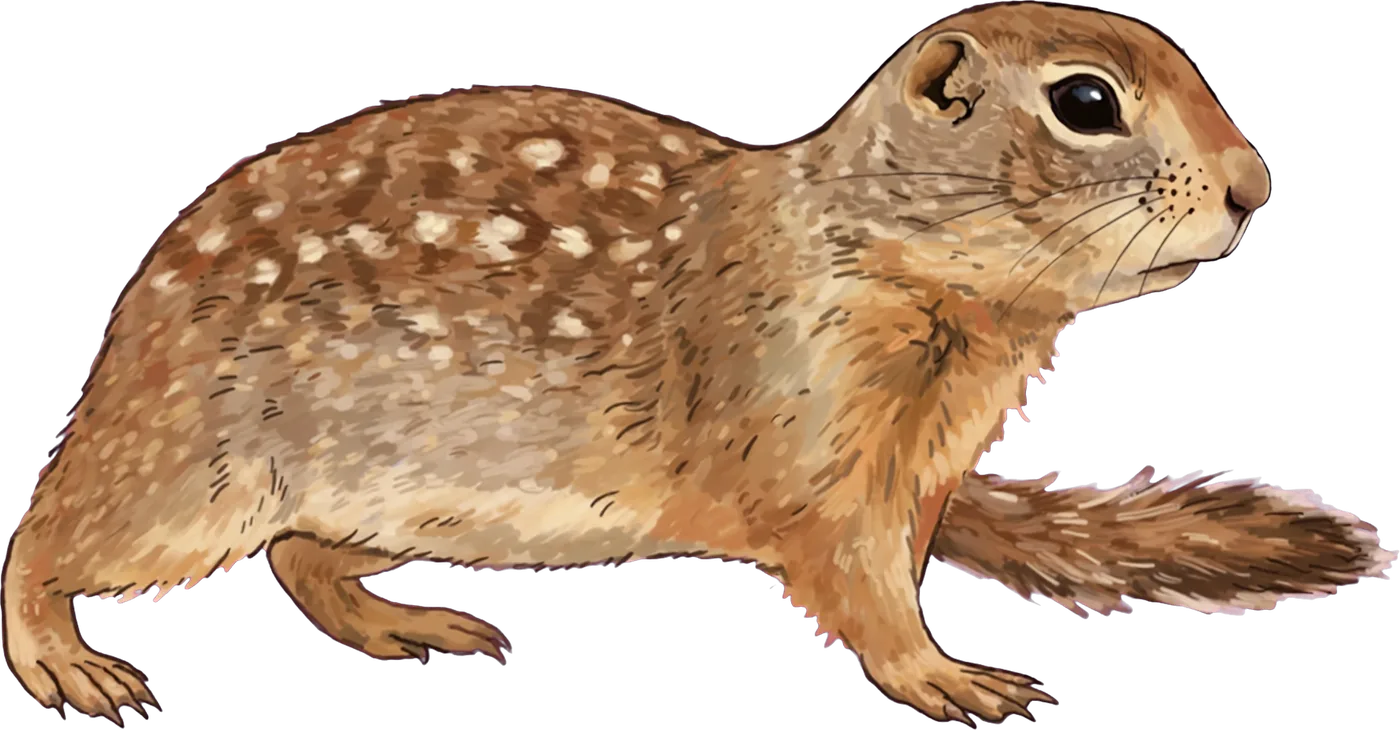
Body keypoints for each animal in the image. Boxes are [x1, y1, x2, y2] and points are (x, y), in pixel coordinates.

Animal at [4, 2, 1393, 724]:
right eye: (1086, 103)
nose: (1253, 186)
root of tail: (125, 345)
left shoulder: (917, 469)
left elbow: (897, 560)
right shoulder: (816, 442)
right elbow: (856, 585)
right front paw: (951, 678)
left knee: (301, 557)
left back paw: (411, 625)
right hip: (191, 480)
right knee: (44, 536)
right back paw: (65, 660)